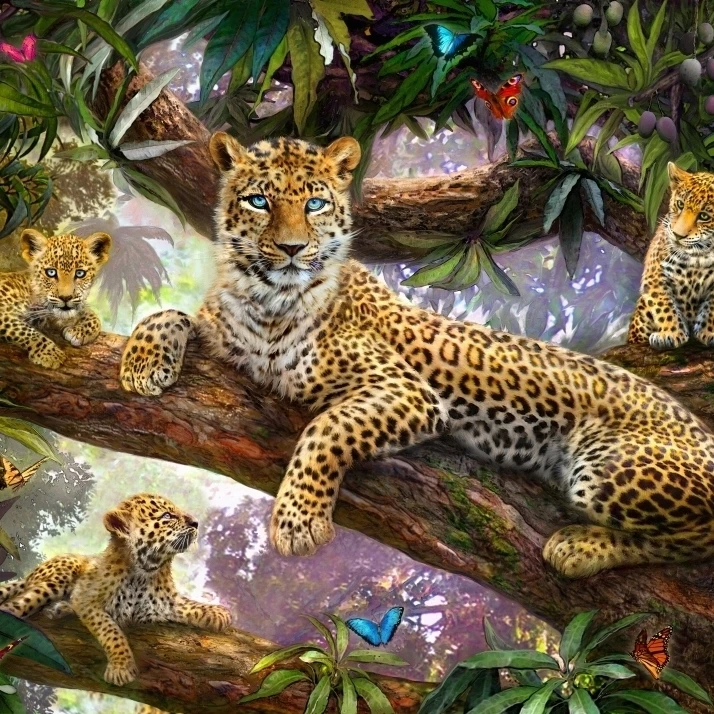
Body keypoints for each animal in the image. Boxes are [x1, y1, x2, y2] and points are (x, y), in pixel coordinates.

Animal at [0, 228, 112, 369]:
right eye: (51, 272)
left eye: (80, 273)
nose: (65, 297)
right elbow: (22, 330)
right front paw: (50, 354)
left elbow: (88, 313)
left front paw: (78, 332)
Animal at [0, 493, 232, 686]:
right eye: (167, 516)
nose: (196, 522)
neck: (145, 570)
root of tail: (30, 574)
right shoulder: (87, 598)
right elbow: (111, 631)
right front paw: (121, 667)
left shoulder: (165, 603)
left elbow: (189, 604)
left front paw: (219, 612)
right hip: (56, 577)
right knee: (19, 603)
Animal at [629, 163, 714, 349]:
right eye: (680, 204)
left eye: (704, 216)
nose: (677, 235)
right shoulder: (655, 276)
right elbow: (664, 306)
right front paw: (670, 334)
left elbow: (712, 307)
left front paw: (708, 332)